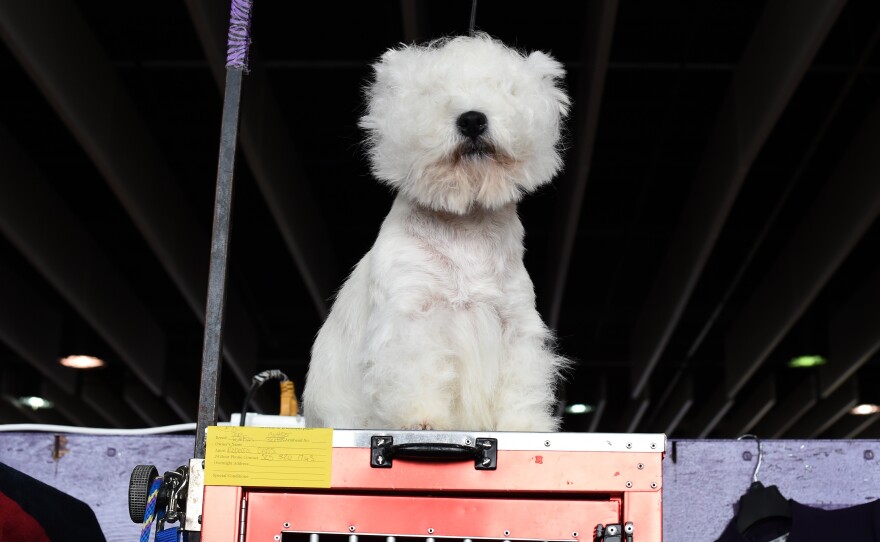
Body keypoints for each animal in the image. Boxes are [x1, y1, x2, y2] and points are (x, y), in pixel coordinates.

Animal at [304, 34, 572, 434]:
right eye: (432, 93)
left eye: (506, 88)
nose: (472, 119)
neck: (467, 224)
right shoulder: (411, 314)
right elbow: (416, 370)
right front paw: (422, 419)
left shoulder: (515, 323)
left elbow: (520, 382)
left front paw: (524, 425)